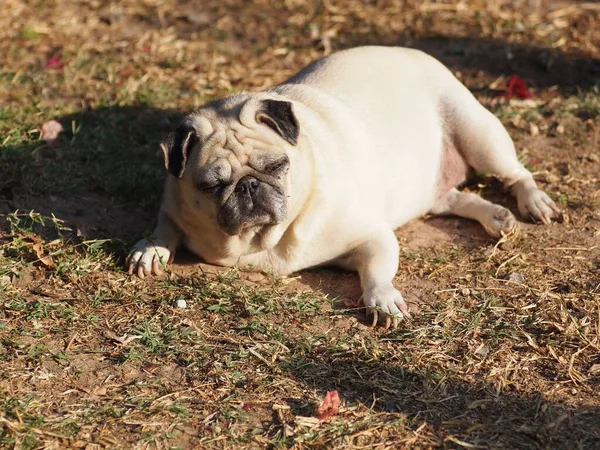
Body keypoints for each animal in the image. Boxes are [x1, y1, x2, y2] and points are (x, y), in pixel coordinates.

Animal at [127, 44, 564, 326]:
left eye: (276, 166)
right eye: (212, 186)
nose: (249, 187)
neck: (262, 242)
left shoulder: (373, 236)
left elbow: (376, 271)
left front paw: (383, 299)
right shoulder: (174, 202)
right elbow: (164, 226)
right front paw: (150, 248)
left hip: (480, 135)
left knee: (515, 172)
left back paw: (531, 202)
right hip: (429, 187)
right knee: (451, 198)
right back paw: (495, 216)